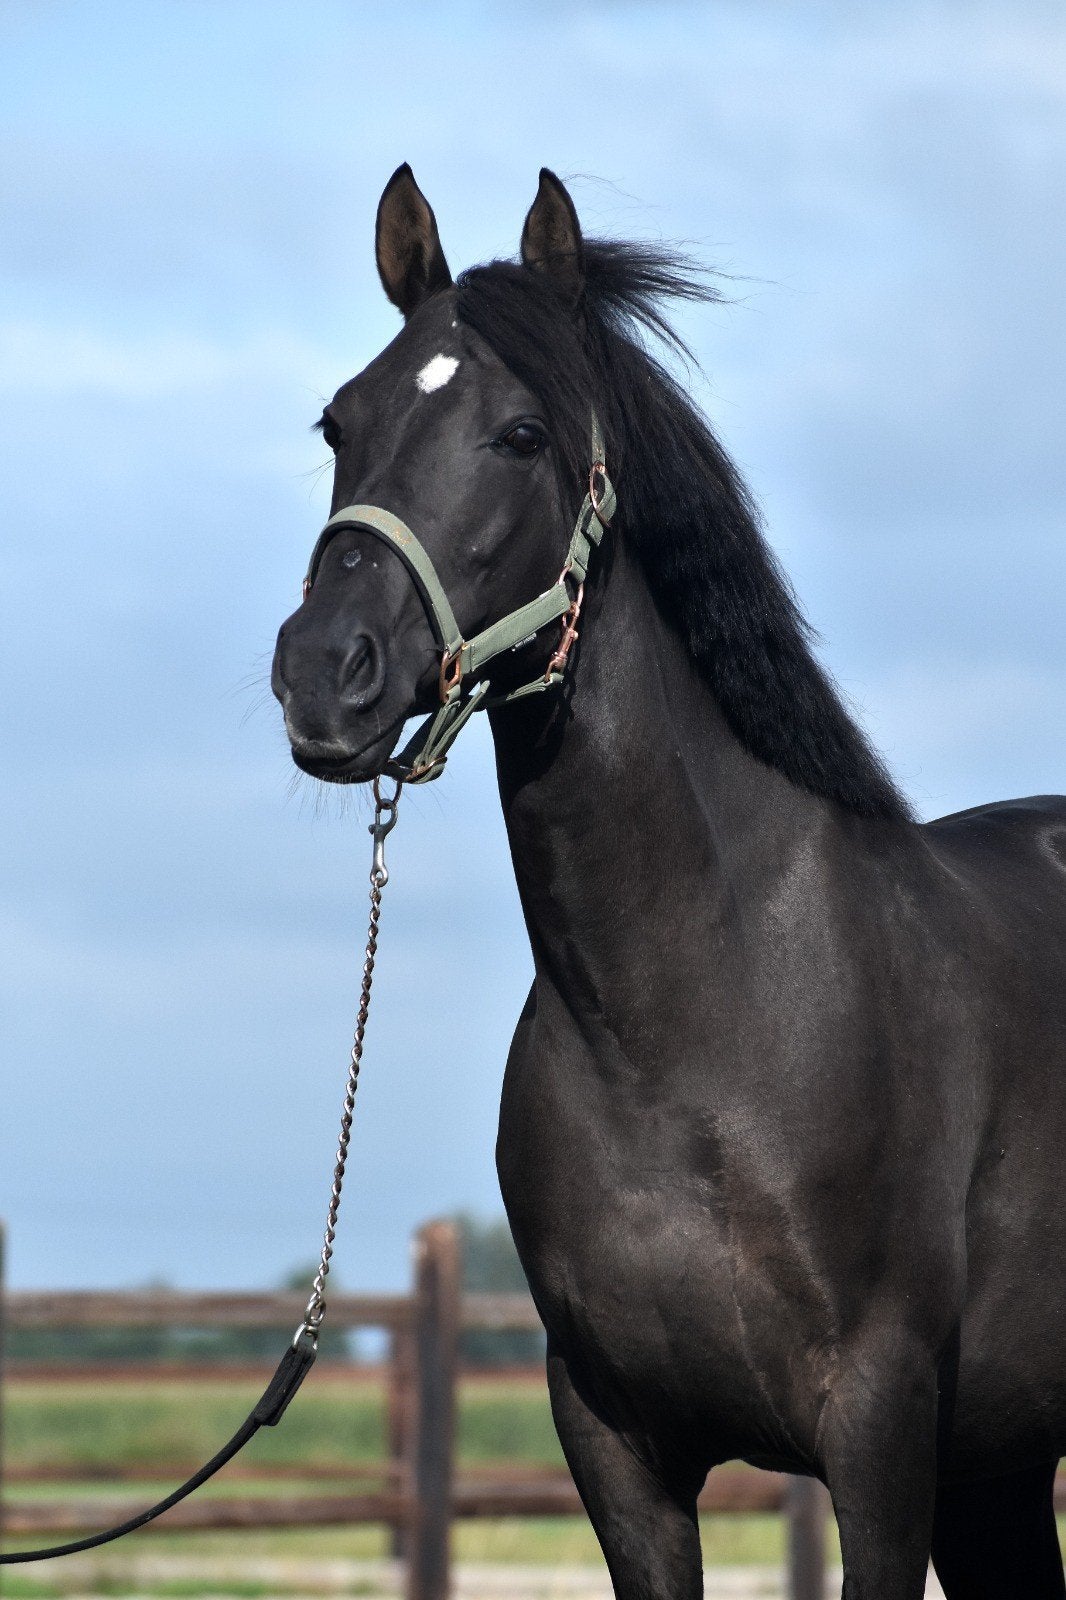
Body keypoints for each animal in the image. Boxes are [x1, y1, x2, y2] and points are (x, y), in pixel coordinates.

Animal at [272, 166, 1066, 1600]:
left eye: (521, 433)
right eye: (338, 421)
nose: (322, 671)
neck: (700, 1024)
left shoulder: (878, 1437)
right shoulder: (616, 1446)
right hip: (999, 1463)